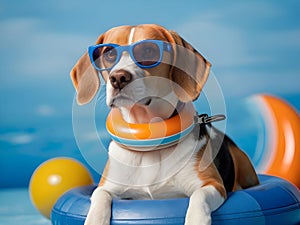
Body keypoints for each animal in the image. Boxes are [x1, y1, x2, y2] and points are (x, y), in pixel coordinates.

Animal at [69, 24, 258, 225]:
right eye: (110, 53)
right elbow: (99, 197)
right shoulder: (107, 187)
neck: (150, 145)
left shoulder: (212, 185)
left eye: (148, 50)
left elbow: (198, 198)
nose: (118, 78)